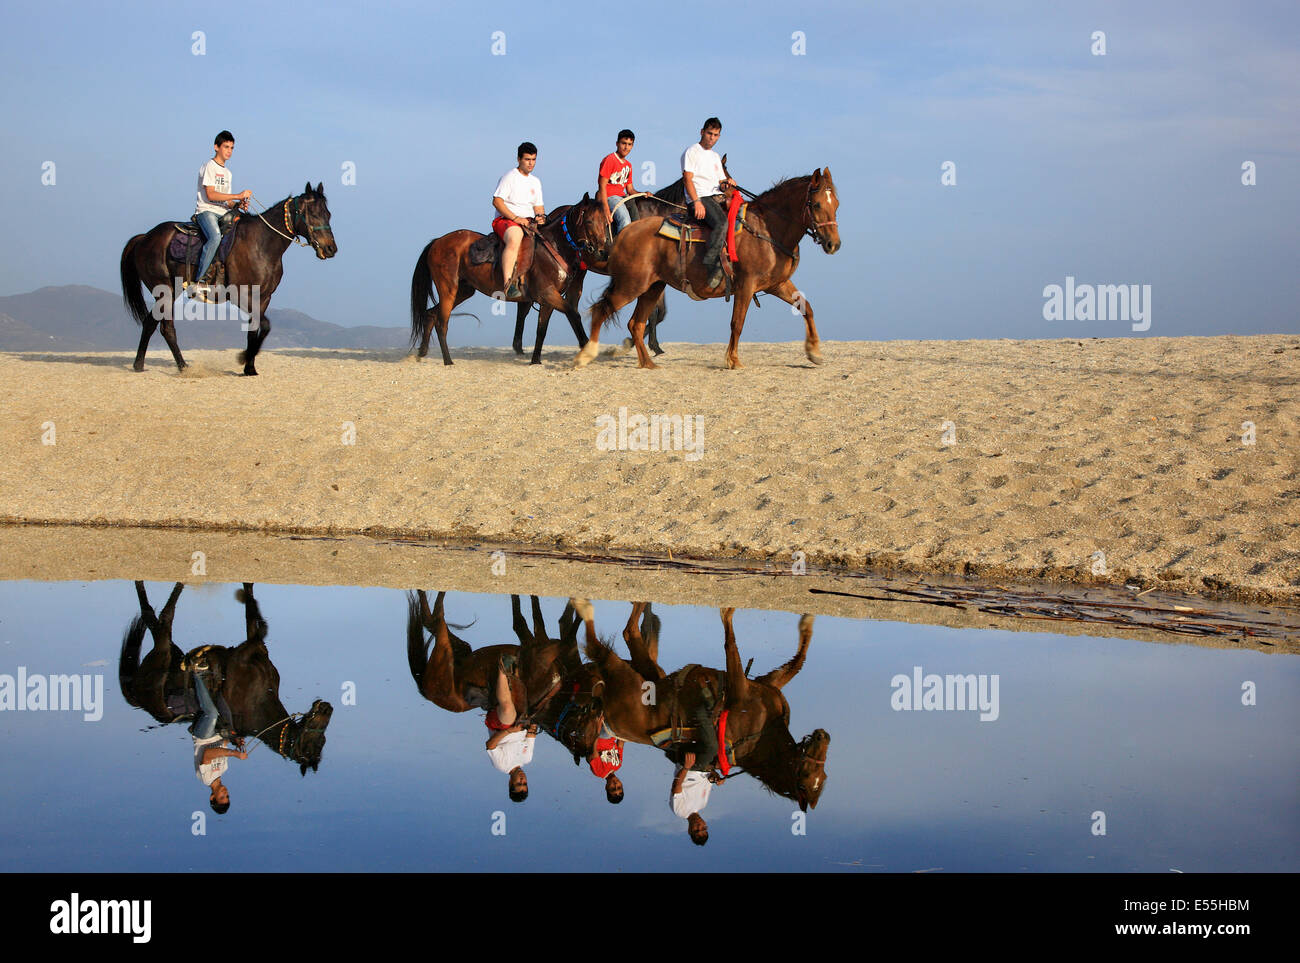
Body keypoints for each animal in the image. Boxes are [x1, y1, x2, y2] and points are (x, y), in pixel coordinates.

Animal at [119, 184, 338, 376]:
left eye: (328, 214)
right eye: (314, 214)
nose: (330, 249)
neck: (262, 244)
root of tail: (145, 238)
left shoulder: (264, 297)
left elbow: (254, 329)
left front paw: (249, 368)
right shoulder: (240, 295)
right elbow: (265, 325)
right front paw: (243, 358)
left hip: (167, 292)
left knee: (150, 323)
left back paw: (140, 365)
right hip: (165, 291)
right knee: (167, 328)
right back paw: (183, 367)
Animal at [405, 192, 608, 363]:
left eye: (605, 222)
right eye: (589, 221)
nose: (603, 252)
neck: (554, 246)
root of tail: (437, 242)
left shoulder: (549, 299)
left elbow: (541, 330)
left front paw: (535, 361)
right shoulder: (548, 294)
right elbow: (573, 314)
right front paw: (586, 348)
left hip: (463, 290)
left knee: (431, 314)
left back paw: (421, 353)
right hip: (449, 289)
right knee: (442, 323)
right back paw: (448, 361)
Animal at [572, 167, 837, 369]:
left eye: (836, 203)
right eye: (816, 204)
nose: (833, 244)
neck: (766, 229)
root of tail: (626, 232)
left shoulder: (776, 284)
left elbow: (806, 308)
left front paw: (814, 352)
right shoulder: (746, 285)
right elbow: (737, 323)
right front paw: (733, 361)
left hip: (652, 287)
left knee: (635, 323)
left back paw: (648, 363)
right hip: (631, 285)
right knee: (602, 310)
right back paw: (586, 355)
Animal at [582, 600, 832, 810]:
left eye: (821, 777)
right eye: (805, 778)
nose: (823, 735)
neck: (762, 736)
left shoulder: (758, 686)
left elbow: (795, 661)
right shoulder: (745, 688)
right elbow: (743, 647)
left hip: (643, 674)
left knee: (626, 634)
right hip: (628, 675)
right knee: (620, 635)